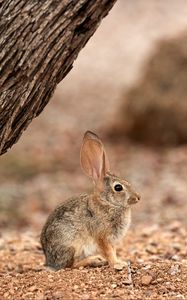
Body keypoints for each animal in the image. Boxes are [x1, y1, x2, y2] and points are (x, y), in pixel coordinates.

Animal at [41, 130, 140, 270]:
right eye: (118, 187)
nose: (138, 197)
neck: (107, 202)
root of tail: (49, 262)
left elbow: (113, 250)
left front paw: (120, 261)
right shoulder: (102, 237)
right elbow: (109, 252)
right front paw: (117, 263)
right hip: (72, 245)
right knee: (70, 265)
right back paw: (94, 260)